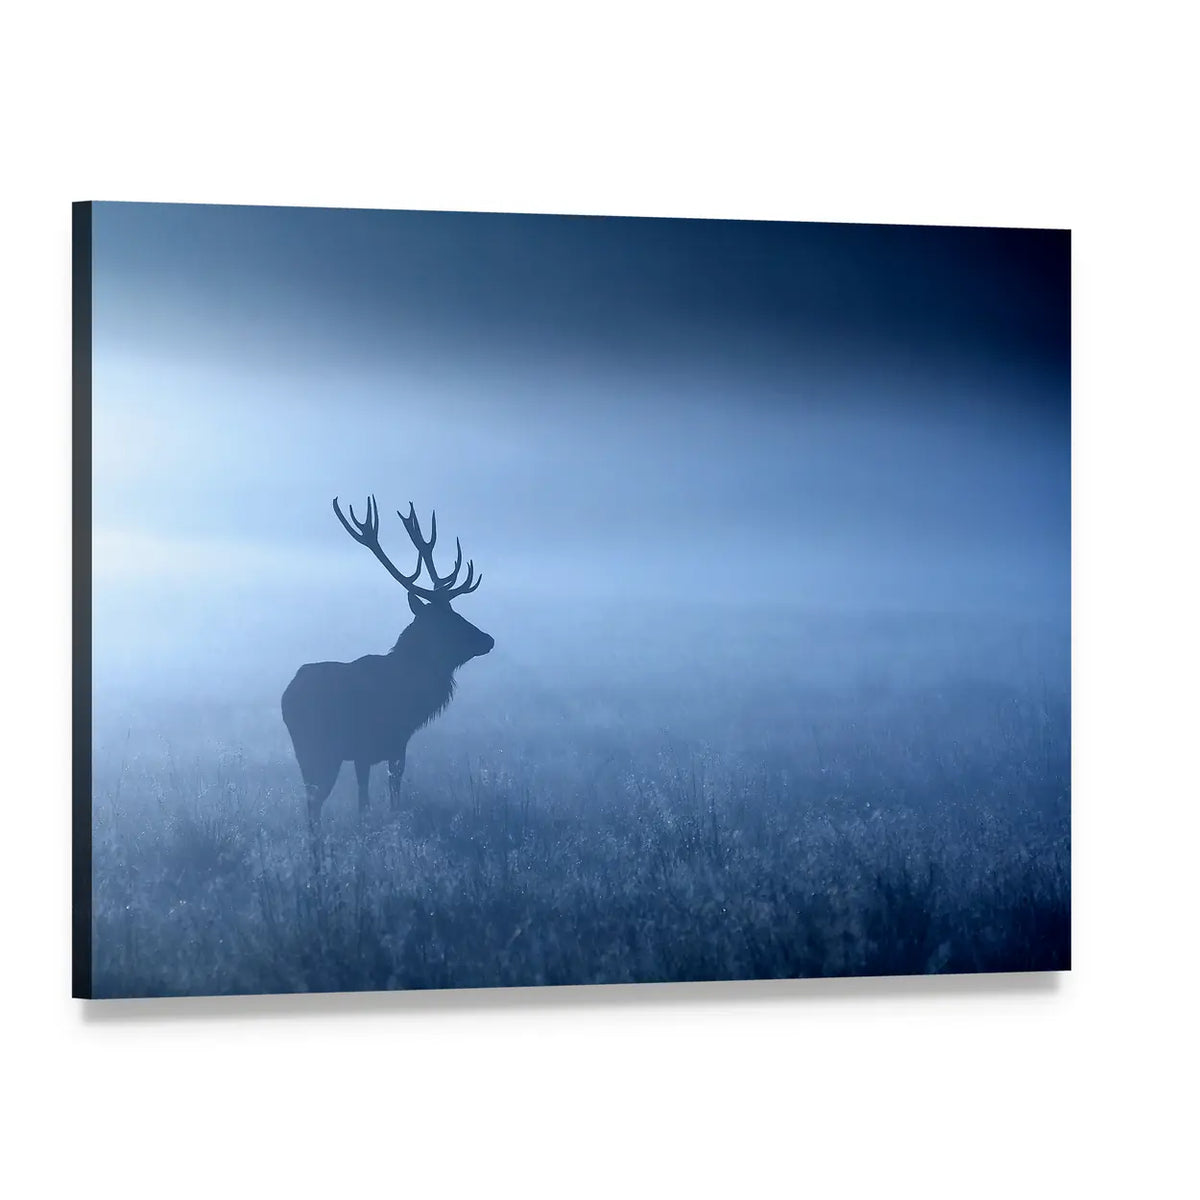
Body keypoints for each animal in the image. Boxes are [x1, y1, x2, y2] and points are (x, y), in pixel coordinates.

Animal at [281, 495, 494, 829]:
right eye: (448, 621)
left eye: (457, 613)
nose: (488, 639)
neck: (410, 697)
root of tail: (286, 696)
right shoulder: (367, 746)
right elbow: (367, 800)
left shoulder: (395, 744)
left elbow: (391, 790)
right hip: (318, 747)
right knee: (314, 802)